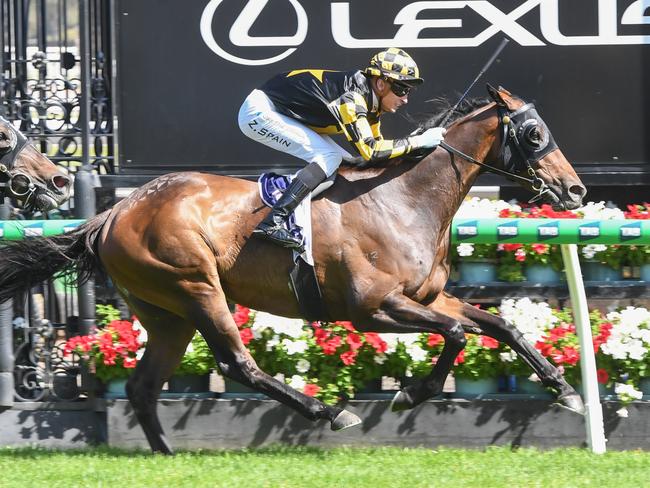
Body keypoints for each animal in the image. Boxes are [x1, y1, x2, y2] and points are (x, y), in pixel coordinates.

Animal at [0, 86, 588, 454]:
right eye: (534, 134)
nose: (576, 189)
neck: (404, 199)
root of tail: (115, 212)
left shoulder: (426, 298)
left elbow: (499, 326)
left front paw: (565, 388)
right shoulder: (373, 309)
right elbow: (458, 334)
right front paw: (410, 394)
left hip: (167, 312)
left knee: (144, 386)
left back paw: (166, 454)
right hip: (195, 286)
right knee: (238, 365)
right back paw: (328, 412)